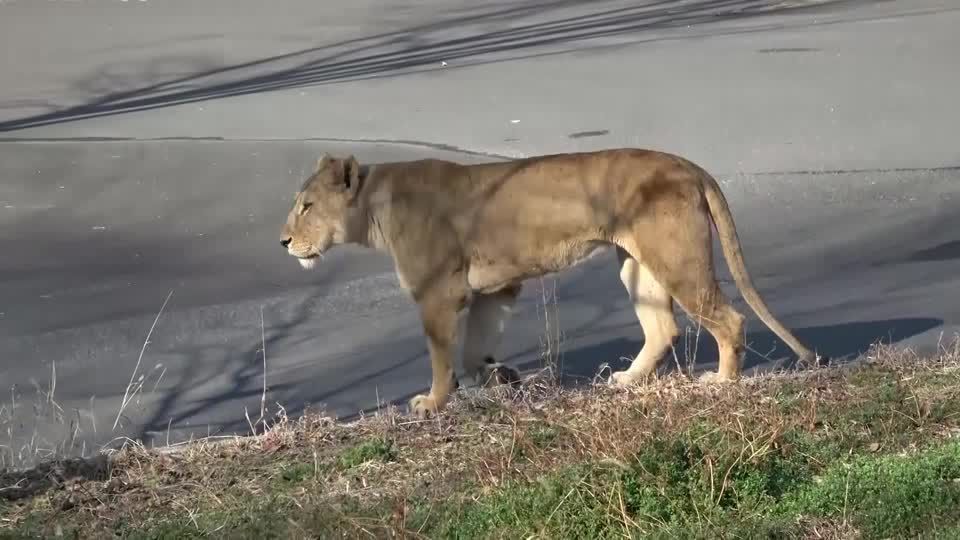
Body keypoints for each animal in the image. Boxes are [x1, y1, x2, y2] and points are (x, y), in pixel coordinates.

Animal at [280, 149, 818, 418]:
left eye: (306, 206)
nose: (283, 241)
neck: (374, 207)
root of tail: (687, 163)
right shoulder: (494, 290)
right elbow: (474, 348)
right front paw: (501, 376)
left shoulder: (437, 292)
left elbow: (439, 356)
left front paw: (432, 402)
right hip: (637, 265)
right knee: (664, 328)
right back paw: (626, 380)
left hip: (676, 260)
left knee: (730, 319)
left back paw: (722, 382)